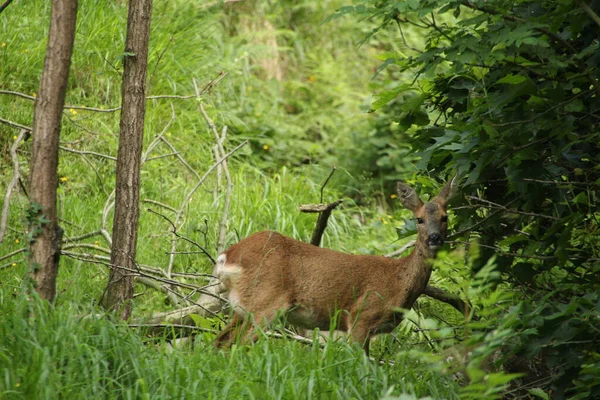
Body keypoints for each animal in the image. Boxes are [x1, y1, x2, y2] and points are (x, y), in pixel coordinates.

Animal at [206, 177, 454, 354]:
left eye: (445, 217)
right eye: (419, 219)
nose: (434, 238)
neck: (399, 281)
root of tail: (228, 256)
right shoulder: (360, 316)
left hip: (243, 308)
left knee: (219, 341)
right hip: (265, 302)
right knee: (238, 345)